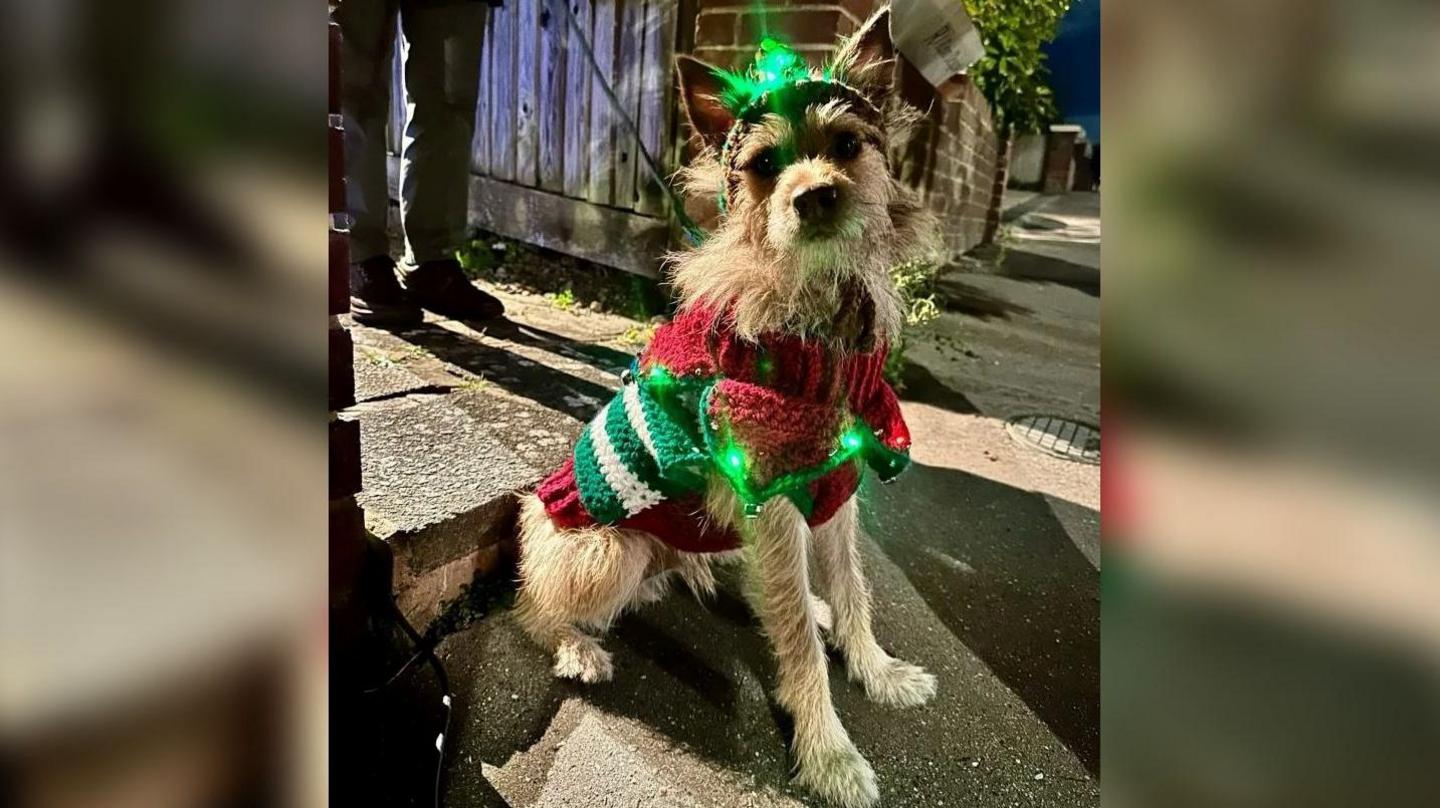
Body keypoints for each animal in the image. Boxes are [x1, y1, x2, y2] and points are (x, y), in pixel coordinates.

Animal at [512, 9, 938, 800]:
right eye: (765, 164)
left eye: (848, 145)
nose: (815, 196)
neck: (818, 318)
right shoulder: (770, 492)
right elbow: (797, 638)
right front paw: (829, 753)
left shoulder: (837, 483)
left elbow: (853, 586)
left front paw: (877, 669)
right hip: (603, 552)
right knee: (529, 606)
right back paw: (576, 647)